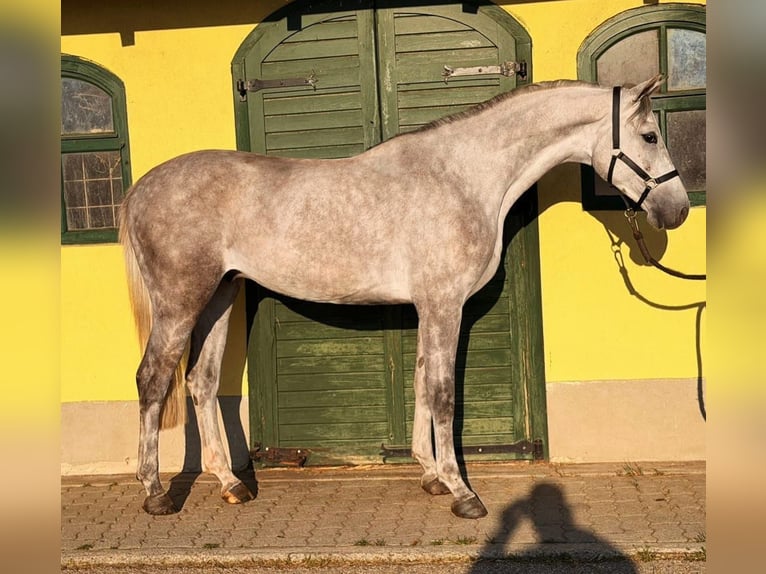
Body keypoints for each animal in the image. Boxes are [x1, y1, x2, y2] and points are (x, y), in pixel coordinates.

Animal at [119, 76, 689, 520]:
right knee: (152, 379)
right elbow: (442, 391)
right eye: (649, 134)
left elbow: (420, 382)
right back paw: (156, 494)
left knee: (201, 382)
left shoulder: (428, 307)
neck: (462, 178)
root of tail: (140, 190)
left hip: (220, 295)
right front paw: (462, 493)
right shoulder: (444, 303)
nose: (678, 209)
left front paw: (431, 476)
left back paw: (232, 484)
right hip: (181, 302)